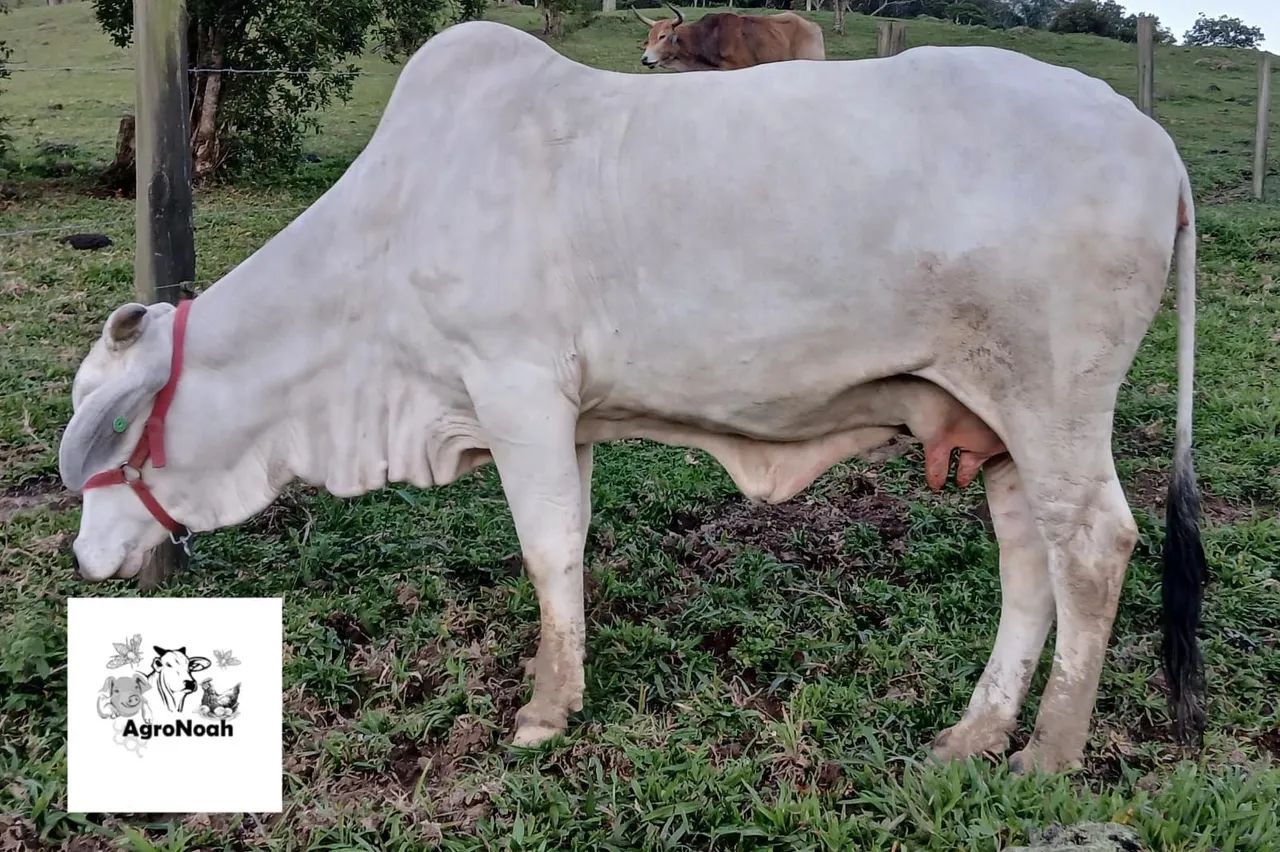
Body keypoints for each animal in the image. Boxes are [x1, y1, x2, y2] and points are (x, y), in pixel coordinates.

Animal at [57, 21, 1207, 774]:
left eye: (112, 431)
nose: (88, 559)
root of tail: (1154, 141)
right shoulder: (564, 416)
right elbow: (566, 547)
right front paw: (561, 689)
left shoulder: (514, 387)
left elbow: (542, 549)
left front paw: (542, 711)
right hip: (996, 420)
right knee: (1027, 562)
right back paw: (974, 733)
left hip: (1053, 402)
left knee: (1094, 547)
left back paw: (1047, 756)